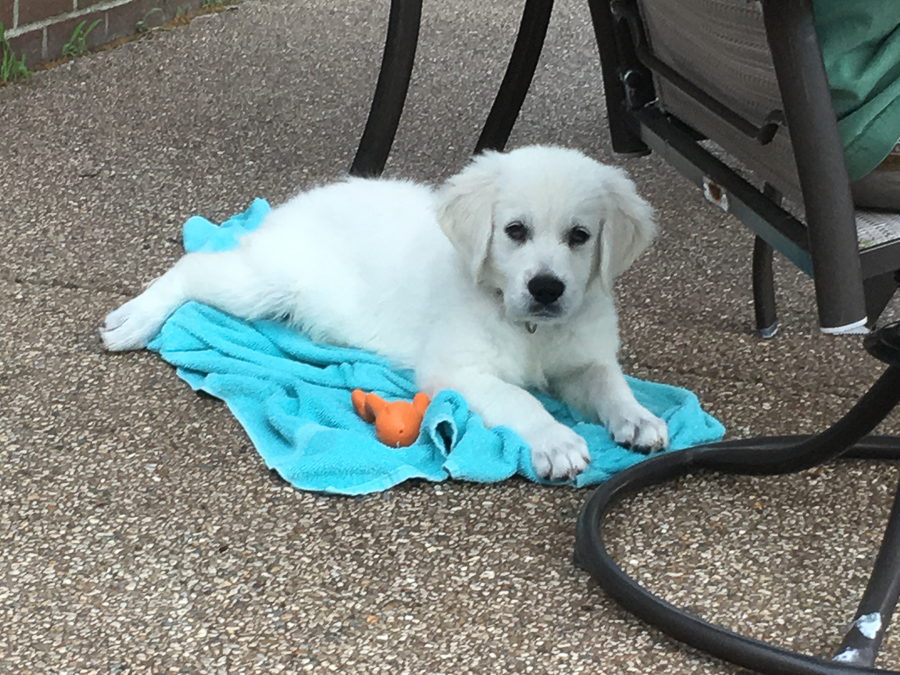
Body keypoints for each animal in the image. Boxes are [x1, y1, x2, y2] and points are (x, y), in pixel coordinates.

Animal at [101, 145, 668, 479]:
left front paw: (639, 419)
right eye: (515, 231)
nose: (547, 289)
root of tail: (298, 202)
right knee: (195, 266)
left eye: (580, 236)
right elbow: (519, 399)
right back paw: (134, 319)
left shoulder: (584, 360)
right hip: (265, 283)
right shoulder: (454, 370)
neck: (529, 327)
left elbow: (610, 383)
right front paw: (556, 441)